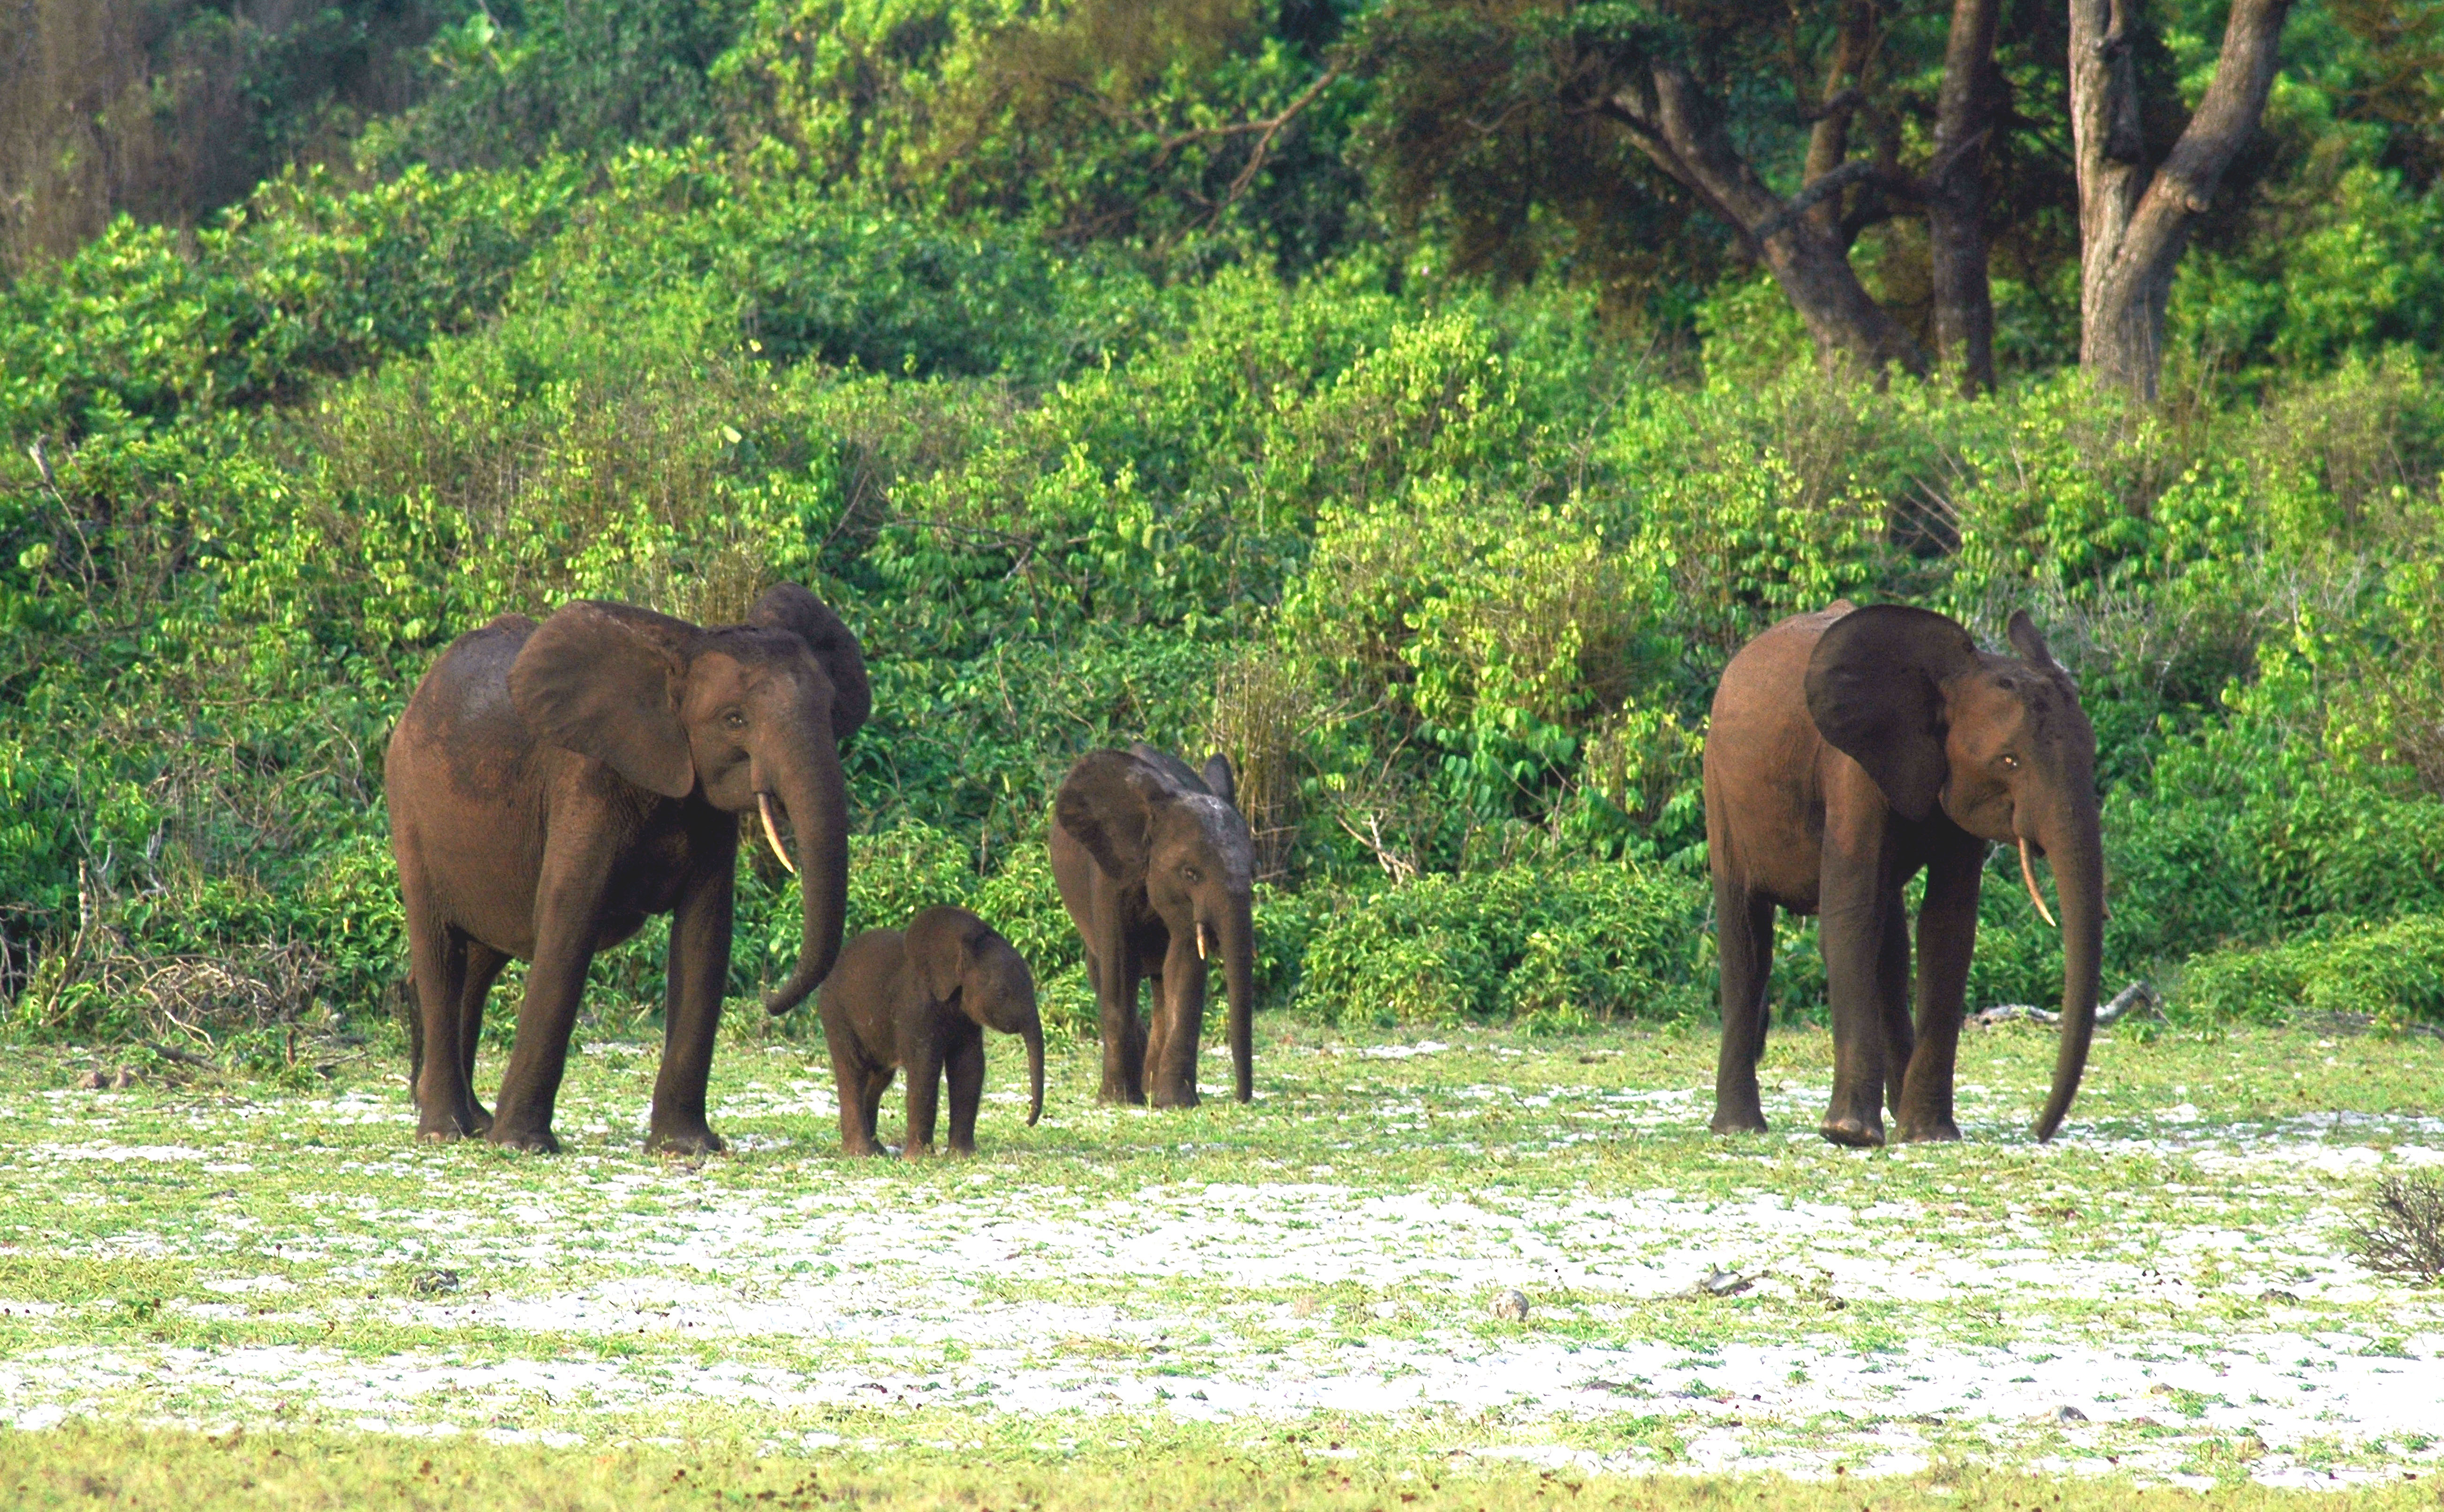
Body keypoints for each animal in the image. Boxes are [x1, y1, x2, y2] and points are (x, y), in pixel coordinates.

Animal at [381, 586, 870, 1153]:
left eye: (831, 710)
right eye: (734, 720)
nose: (770, 999)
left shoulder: (704, 805)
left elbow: (705, 936)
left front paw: (686, 1147)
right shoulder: (587, 779)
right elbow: (569, 923)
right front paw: (523, 1146)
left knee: (481, 959)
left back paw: (475, 1123)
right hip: (409, 807)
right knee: (442, 950)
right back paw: (445, 1131)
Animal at [821, 908, 1051, 1158]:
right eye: (1001, 994)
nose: (1028, 1122)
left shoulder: (965, 1017)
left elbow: (969, 1066)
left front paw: (962, 1156)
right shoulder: (915, 1006)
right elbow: (925, 1067)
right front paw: (919, 1159)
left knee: (879, 1077)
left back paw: (878, 1150)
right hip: (836, 1013)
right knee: (852, 1071)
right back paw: (862, 1153)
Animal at [1051, 747, 1261, 1114]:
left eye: (1253, 873)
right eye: (1191, 873)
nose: (1242, 1098)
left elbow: (1185, 965)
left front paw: (1176, 1104)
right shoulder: (1109, 874)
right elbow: (1120, 968)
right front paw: (1119, 1101)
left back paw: (1150, 1089)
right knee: (1102, 972)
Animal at [1701, 603, 2102, 1148]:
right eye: (2009, 760)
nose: (2039, 1131)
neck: (1951, 677)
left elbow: (1947, 926)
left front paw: (1928, 1134)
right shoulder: (1851, 767)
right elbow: (1850, 911)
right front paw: (1850, 1135)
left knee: (1889, 942)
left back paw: (1894, 1111)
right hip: (1719, 785)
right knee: (1747, 940)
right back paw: (1740, 1127)